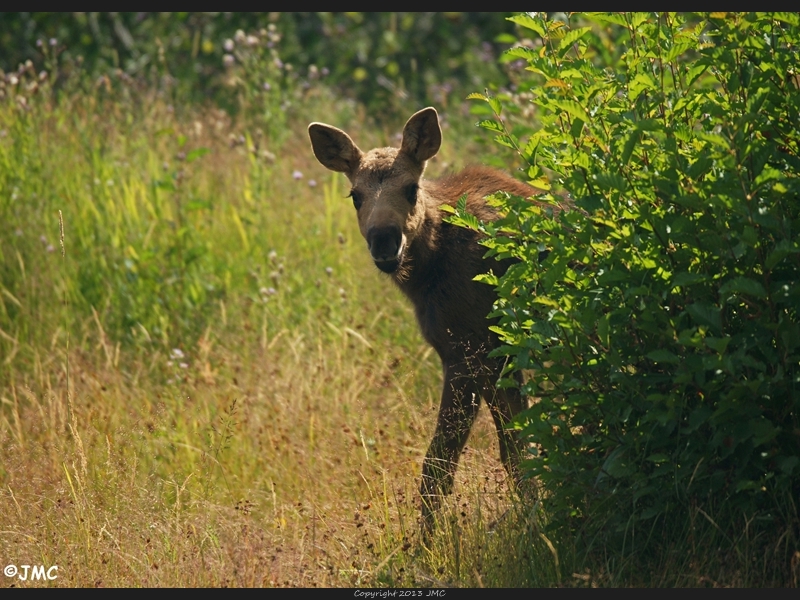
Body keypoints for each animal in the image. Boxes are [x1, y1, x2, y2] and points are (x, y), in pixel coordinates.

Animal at [310, 106, 536, 528]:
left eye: (411, 188)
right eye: (355, 195)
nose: (384, 239)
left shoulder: (469, 349)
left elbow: (439, 465)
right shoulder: (492, 353)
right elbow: (517, 450)